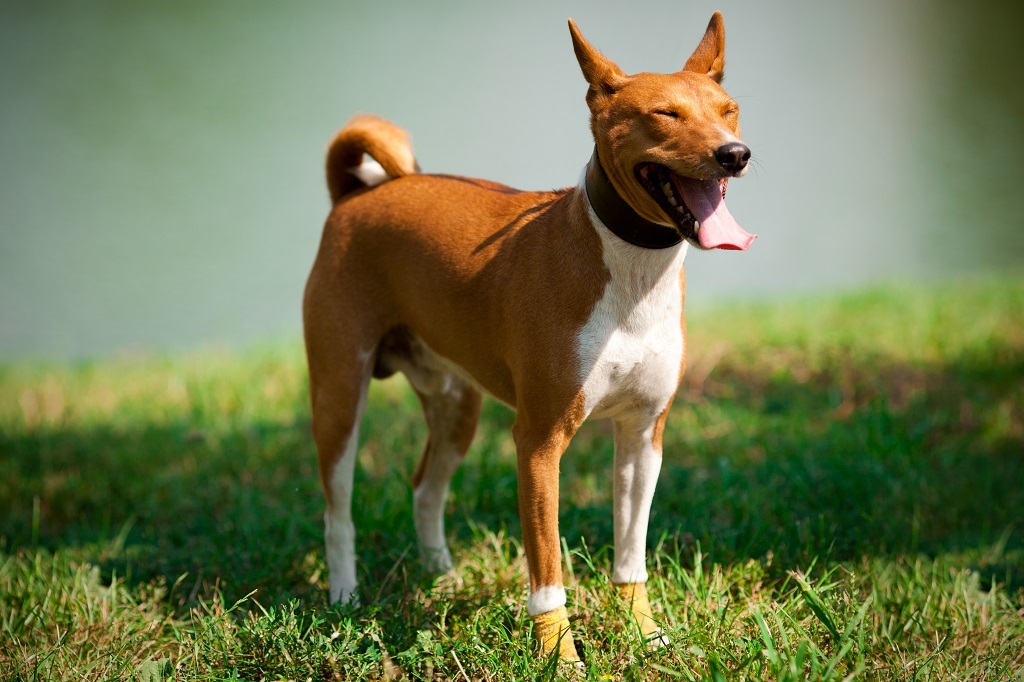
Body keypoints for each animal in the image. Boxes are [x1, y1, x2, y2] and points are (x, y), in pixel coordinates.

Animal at [301, 10, 753, 659]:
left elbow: (630, 555)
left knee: (425, 488)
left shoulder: (643, 434)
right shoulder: (538, 444)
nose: (734, 154)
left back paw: (442, 579)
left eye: (728, 109)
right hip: (339, 398)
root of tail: (356, 195)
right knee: (338, 512)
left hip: (455, 406)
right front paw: (559, 656)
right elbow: (547, 575)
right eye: (665, 114)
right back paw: (344, 595)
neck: (632, 277)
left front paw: (643, 635)